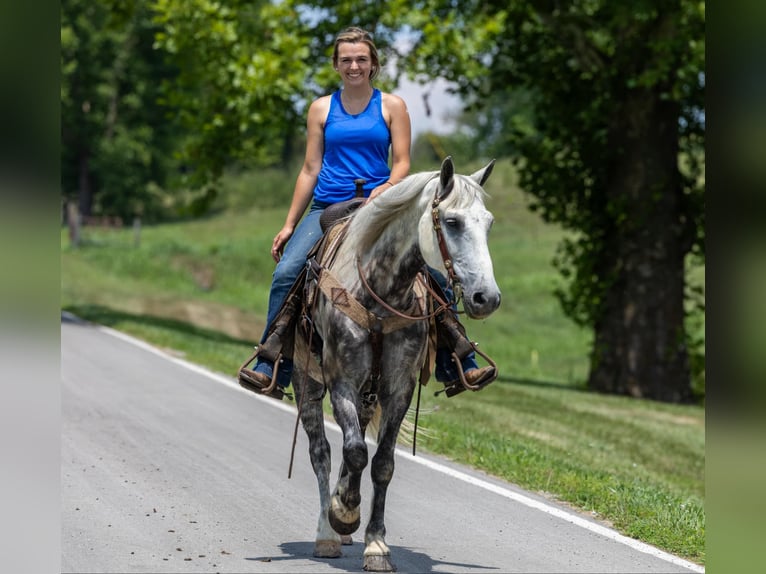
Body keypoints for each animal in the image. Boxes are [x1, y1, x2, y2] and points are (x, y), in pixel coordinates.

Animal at [292, 156, 500, 572]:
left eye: (487, 222)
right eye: (452, 221)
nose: (487, 297)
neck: (379, 290)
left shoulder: (397, 389)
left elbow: (381, 463)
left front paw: (375, 544)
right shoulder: (341, 382)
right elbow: (355, 451)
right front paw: (344, 512)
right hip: (308, 384)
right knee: (321, 452)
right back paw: (328, 533)